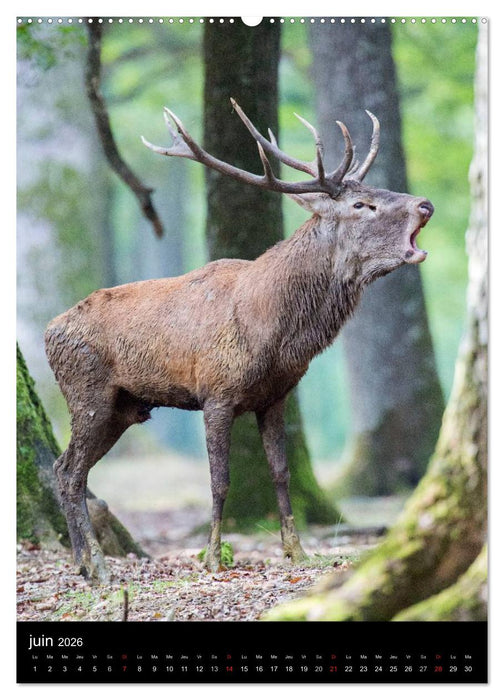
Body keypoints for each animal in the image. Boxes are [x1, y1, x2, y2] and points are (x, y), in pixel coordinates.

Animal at [45, 98, 434, 582]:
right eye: (364, 204)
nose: (426, 204)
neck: (273, 333)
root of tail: (47, 331)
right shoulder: (216, 392)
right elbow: (219, 480)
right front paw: (212, 557)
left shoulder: (276, 397)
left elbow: (281, 473)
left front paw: (297, 550)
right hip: (88, 393)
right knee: (69, 471)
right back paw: (97, 565)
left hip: (123, 408)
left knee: (66, 469)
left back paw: (83, 562)